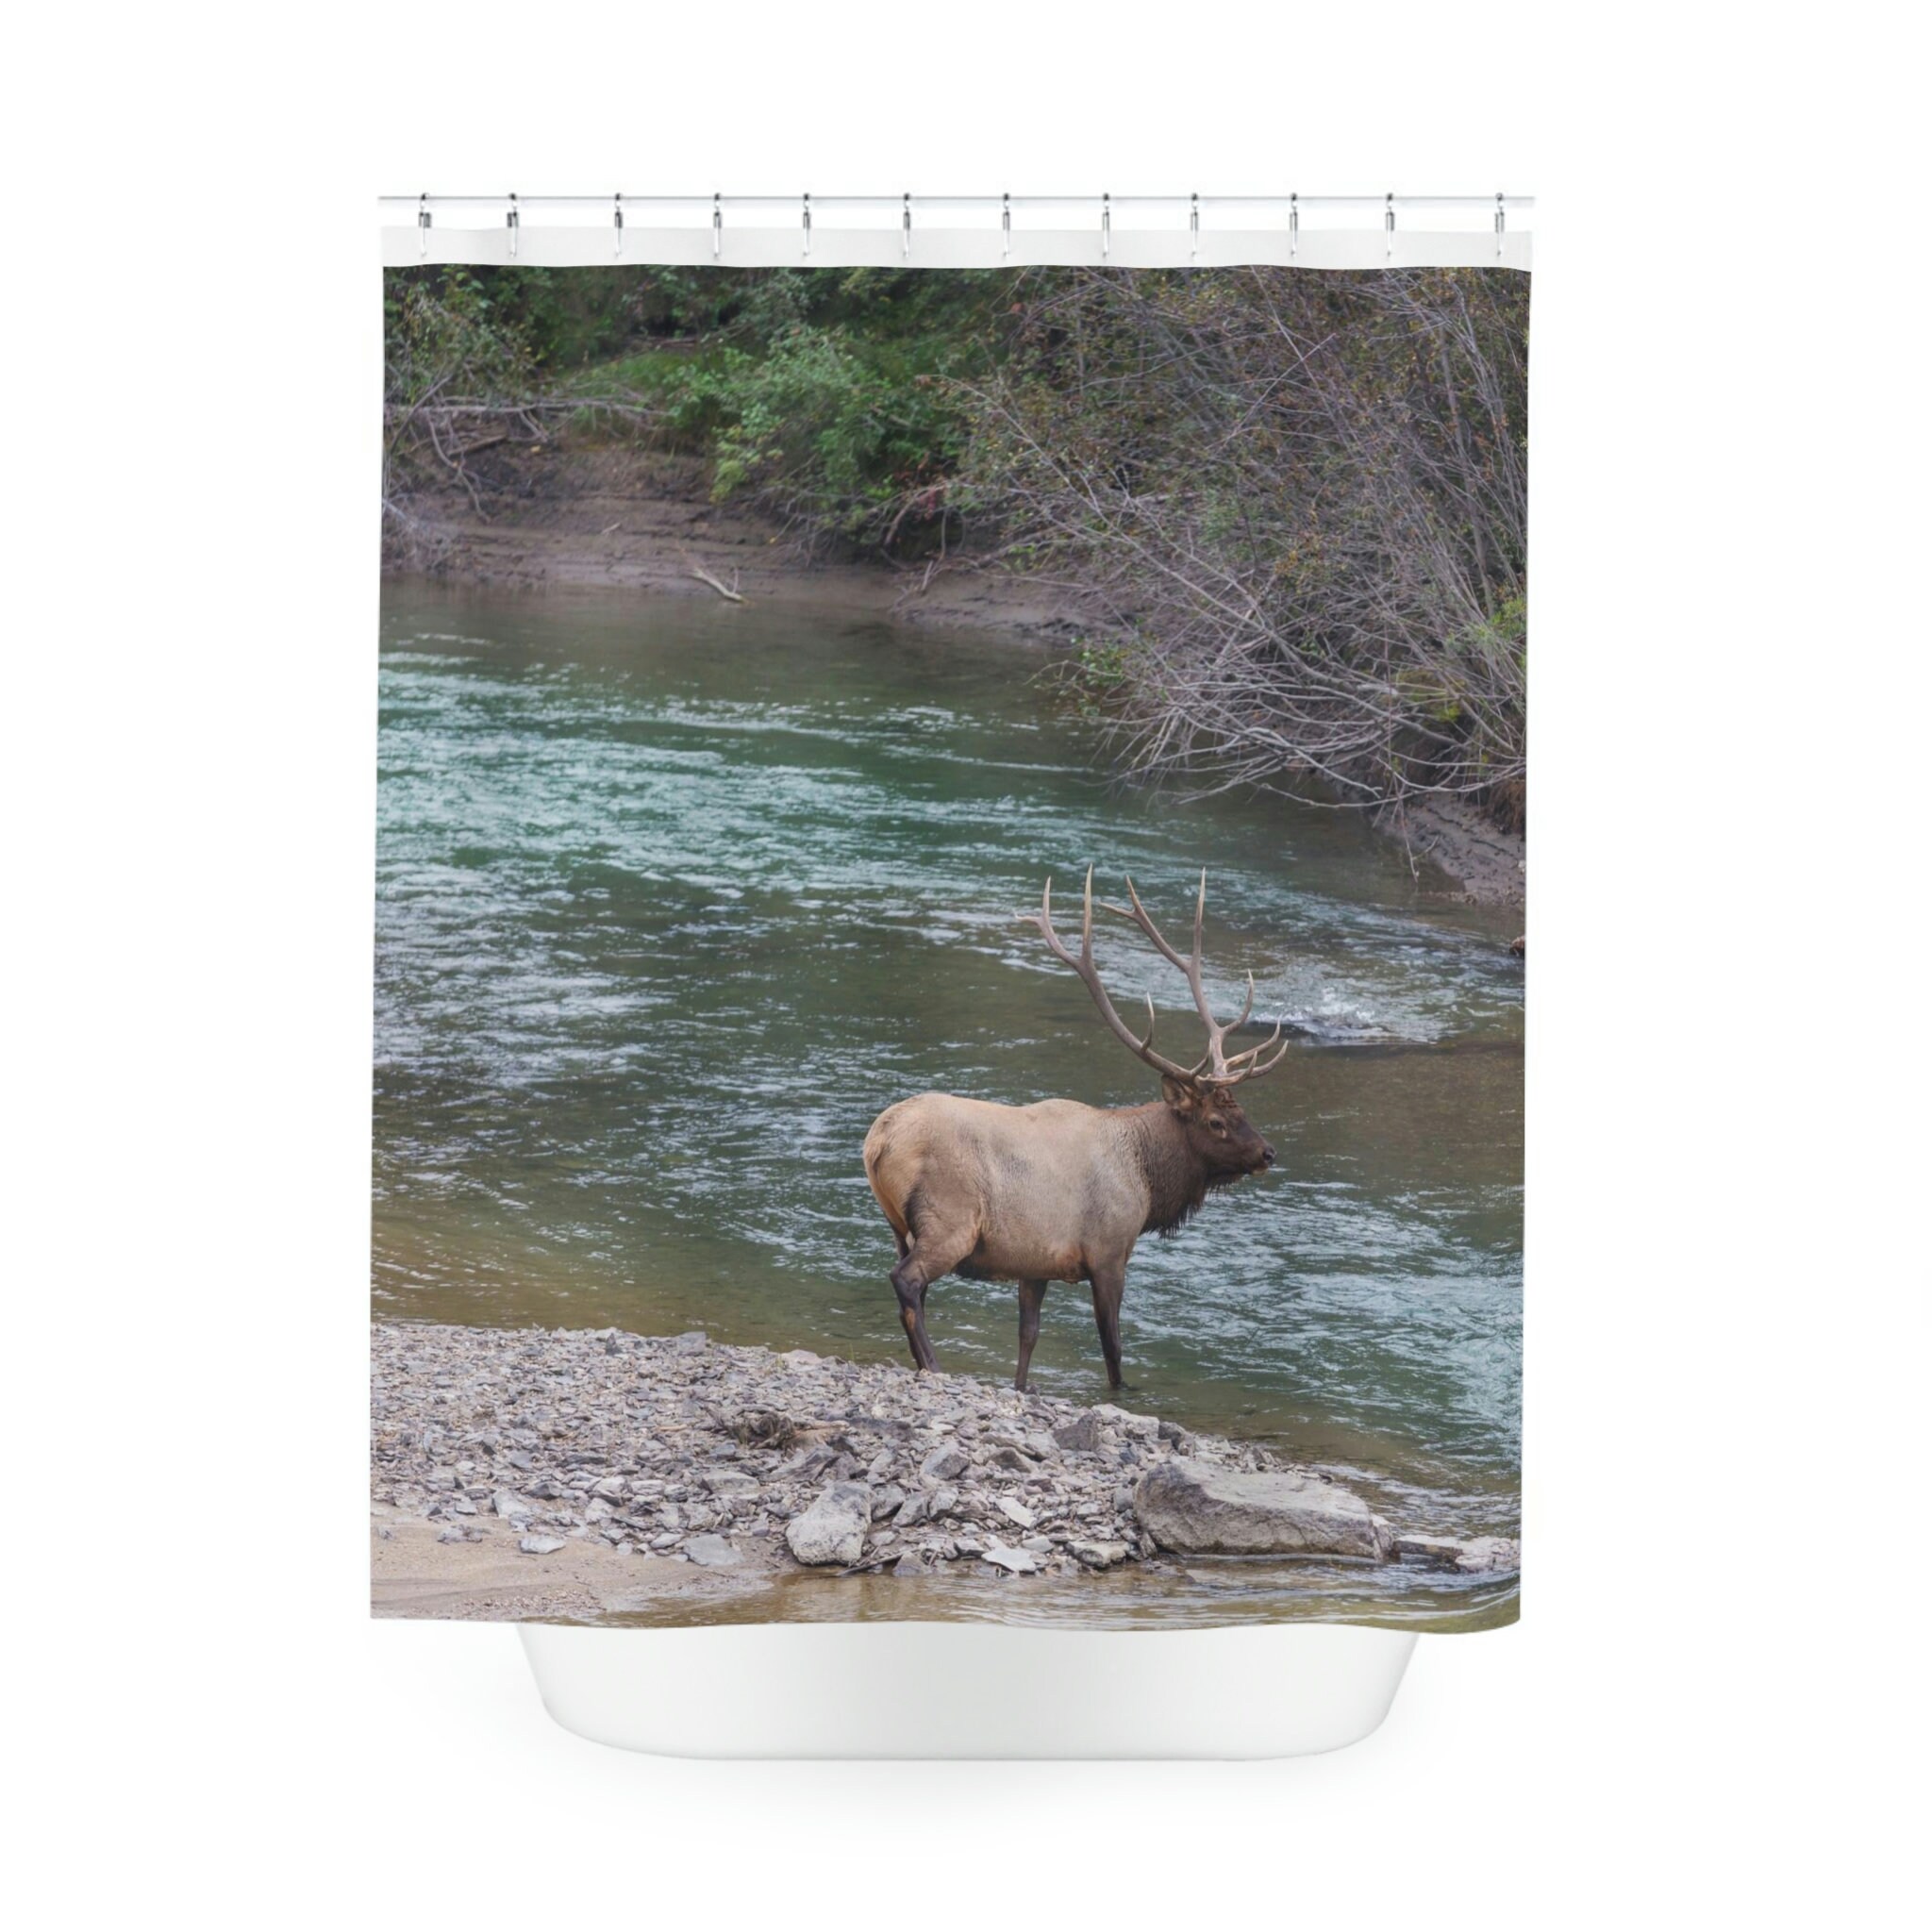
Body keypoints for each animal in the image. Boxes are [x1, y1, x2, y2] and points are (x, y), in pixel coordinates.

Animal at [862, 869, 1289, 1391]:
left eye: (1242, 1109)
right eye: (1217, 1121)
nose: (1268, 1152)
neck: (1147, 1178)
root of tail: (876, 1141)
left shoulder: (1035, 1263)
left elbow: (1028, 1338)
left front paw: (1022, 1385)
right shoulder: (1108, 1251)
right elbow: (1113, 1348)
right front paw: (1123, 1389)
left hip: (898, 1226)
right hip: (949, 1220)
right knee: (907, 1281)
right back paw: (934, 1366)